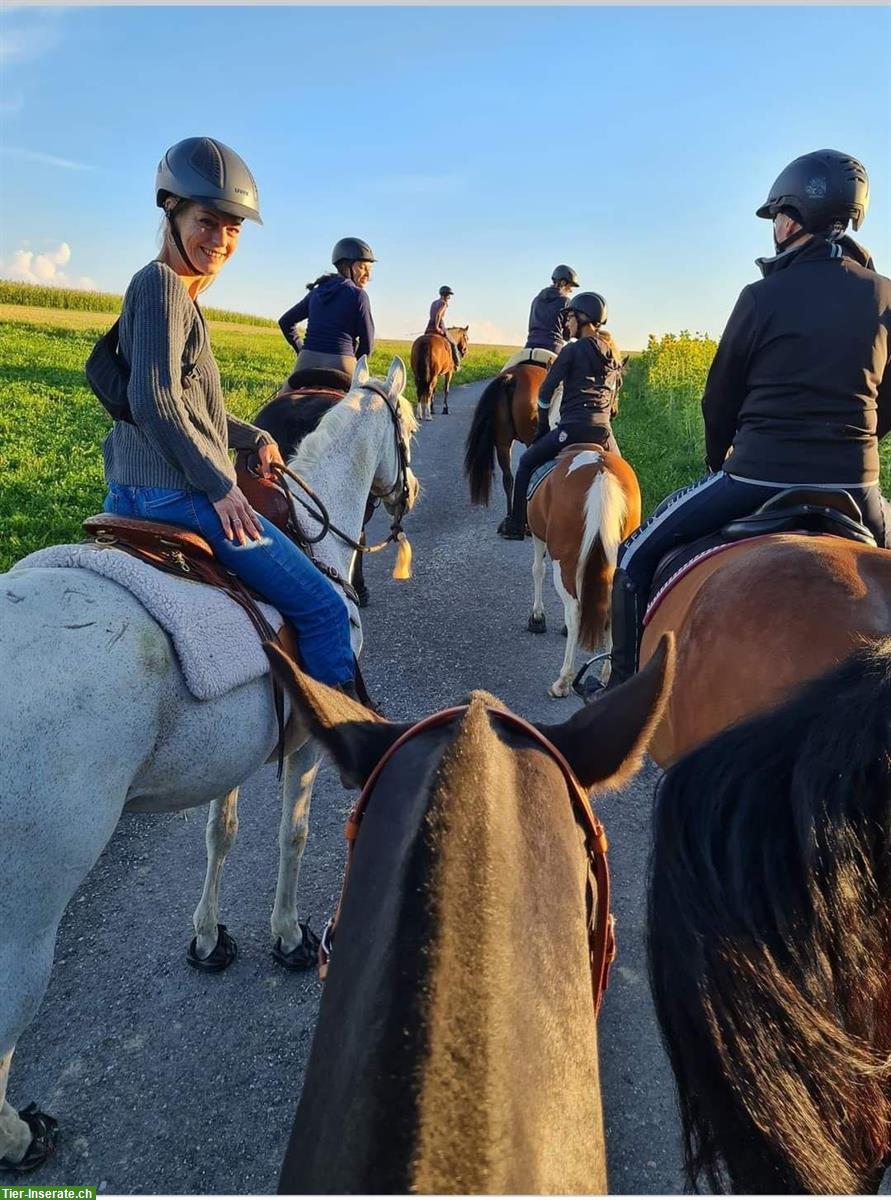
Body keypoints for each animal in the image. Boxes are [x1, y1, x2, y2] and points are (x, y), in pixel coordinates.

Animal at [525, 448, 643, 696]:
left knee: (574, 611)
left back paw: (562, 682)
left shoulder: (538, 537)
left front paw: (537, 616)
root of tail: (601, 473)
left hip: (565, 561)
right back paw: (607, 675)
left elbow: (537, 569)